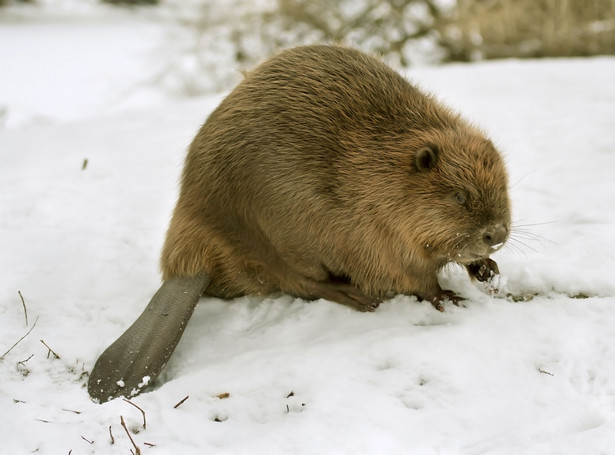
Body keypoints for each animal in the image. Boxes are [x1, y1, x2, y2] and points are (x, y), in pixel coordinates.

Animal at [86, 45, 510, 402]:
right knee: (302, 282)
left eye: (503, 185)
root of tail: (186, 268)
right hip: (280, 238)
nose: (497, 234)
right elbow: (410, 275)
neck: (381, 169)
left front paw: (487, 269)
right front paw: (449, 297)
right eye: (459, 197)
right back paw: (356, 296)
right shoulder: (370, 229)